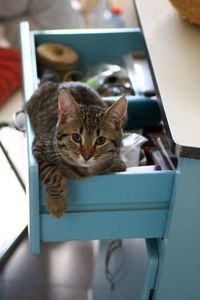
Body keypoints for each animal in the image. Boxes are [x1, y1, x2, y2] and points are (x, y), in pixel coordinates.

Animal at [25, 81, 127, 217]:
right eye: (76, 137)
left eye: (101, 140)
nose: (87, 156)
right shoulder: (39, 145)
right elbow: (50, 171)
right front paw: (57, 203)